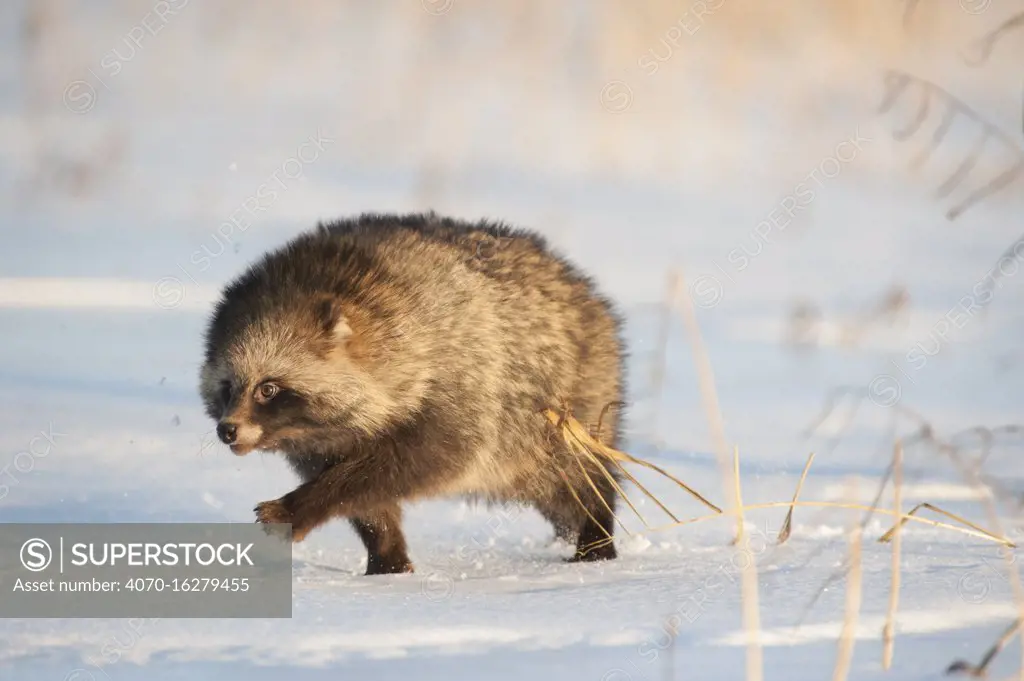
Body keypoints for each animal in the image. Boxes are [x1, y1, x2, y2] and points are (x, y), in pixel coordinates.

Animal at [194, 213, 618, 573]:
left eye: (268, 388)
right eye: (227, 387)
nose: (227, 430)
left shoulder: (462, 379)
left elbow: (410, 463)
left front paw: (305, 503)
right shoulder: (319, 443)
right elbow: (369, 502)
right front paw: (387, 554)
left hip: (570, 408)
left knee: (576, 477)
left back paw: (595, 532)